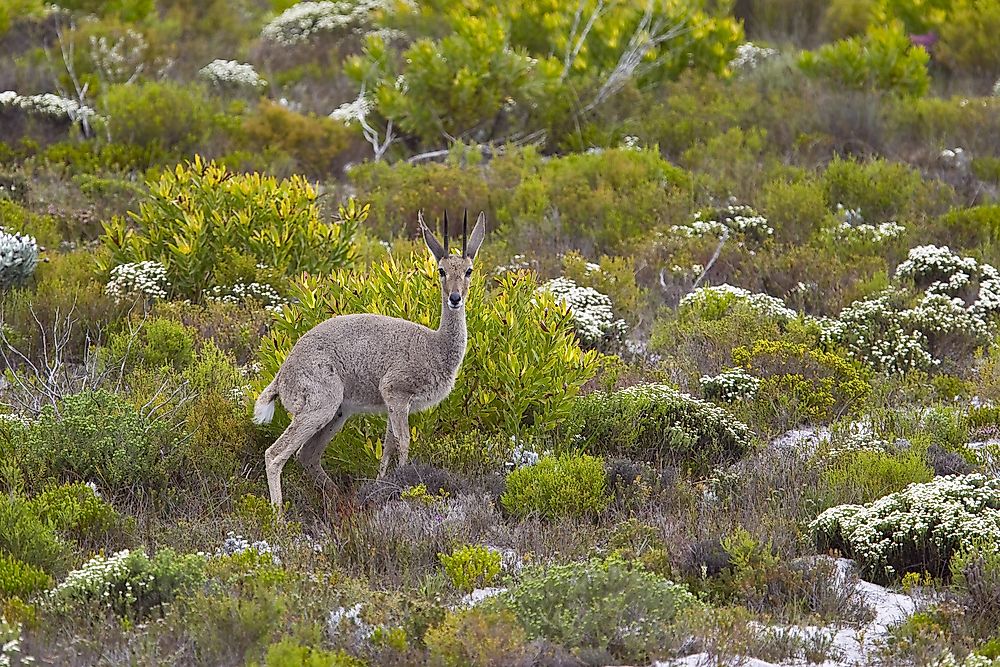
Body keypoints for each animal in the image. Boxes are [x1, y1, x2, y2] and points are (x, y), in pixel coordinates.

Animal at [250, 211, 484, 508]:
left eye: (469, 270)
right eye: (441, 270)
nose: (455, 298)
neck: (435, 345)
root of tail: (282, 375)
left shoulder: (393, 406)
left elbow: (388, 445)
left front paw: (381, 483)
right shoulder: (396, 394)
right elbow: (403, 442)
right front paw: (404, 484)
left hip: (338, 414)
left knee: (307, 455)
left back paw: (340, 500)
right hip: (319, 409)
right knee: (275, 454)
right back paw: (278, 514)